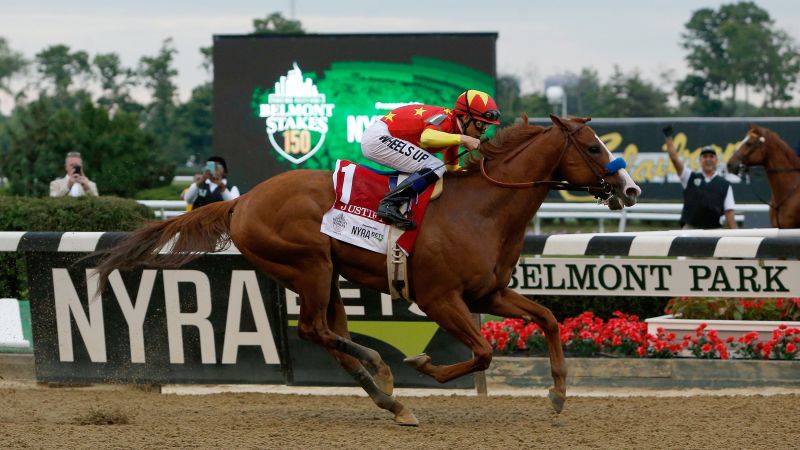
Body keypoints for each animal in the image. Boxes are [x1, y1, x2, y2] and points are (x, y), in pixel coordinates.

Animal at [95, 115, 644, 426]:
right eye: (592, 147)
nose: (631, 189)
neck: (481, 209)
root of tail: (241, 201)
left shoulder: (488, 294)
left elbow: (548, 320)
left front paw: (558, 394)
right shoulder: (439, 298)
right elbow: (484, 352)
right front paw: (423, 365)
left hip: (324, 275)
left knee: (327, 334)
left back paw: (388, 398)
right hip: (310, 265)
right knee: (313, 330)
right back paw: (383, 371)